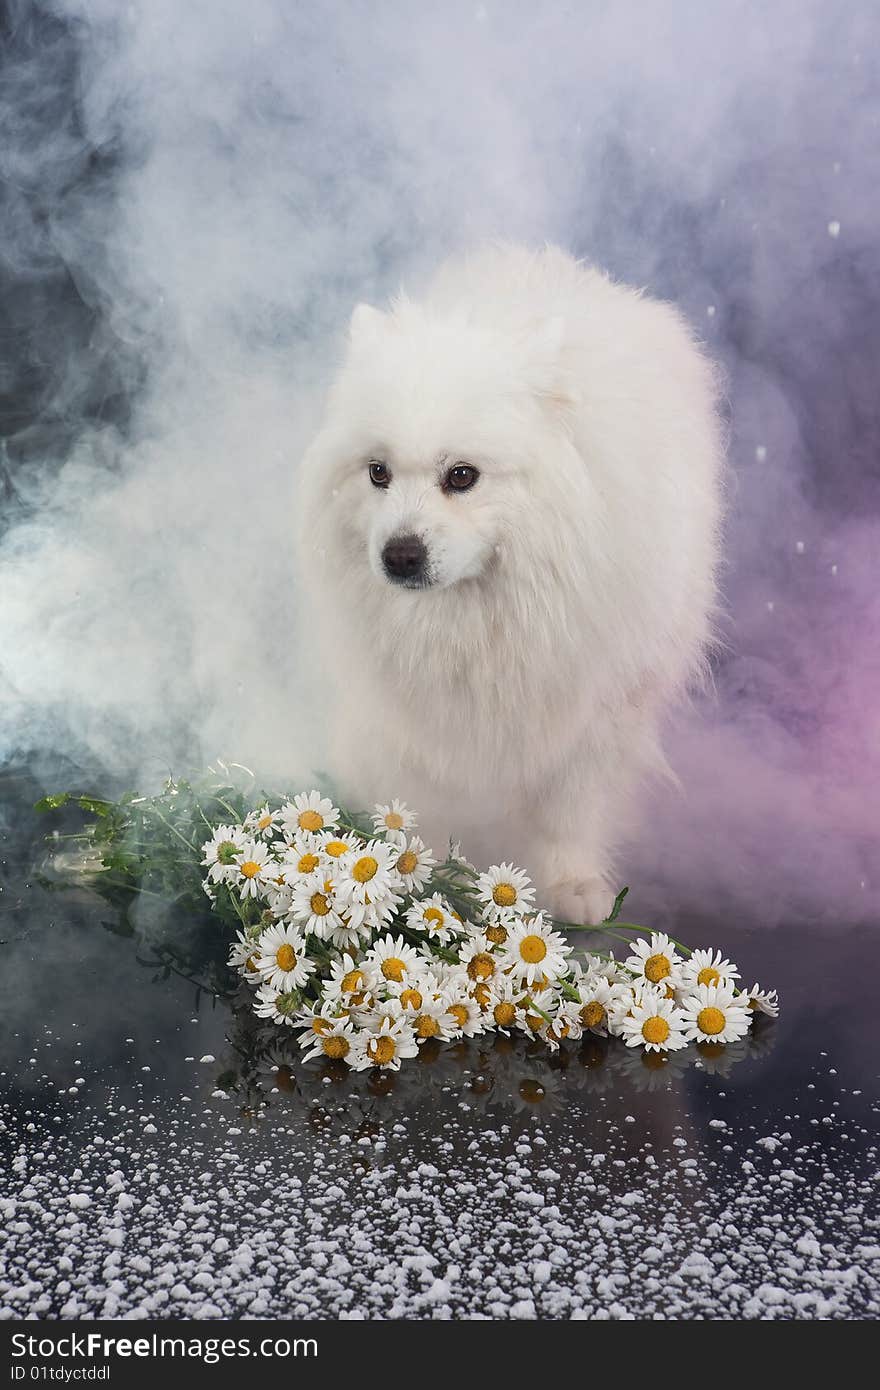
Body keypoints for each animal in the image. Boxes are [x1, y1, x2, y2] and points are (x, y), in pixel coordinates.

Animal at [298, 246, 722, 928]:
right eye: (377, 473)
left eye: (462, 476)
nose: (399, 554)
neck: (484, 615)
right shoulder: (407, 715)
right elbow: (414, 802)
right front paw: (407, 873)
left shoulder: (599, 707)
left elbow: (570, 808)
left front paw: (573, 885)